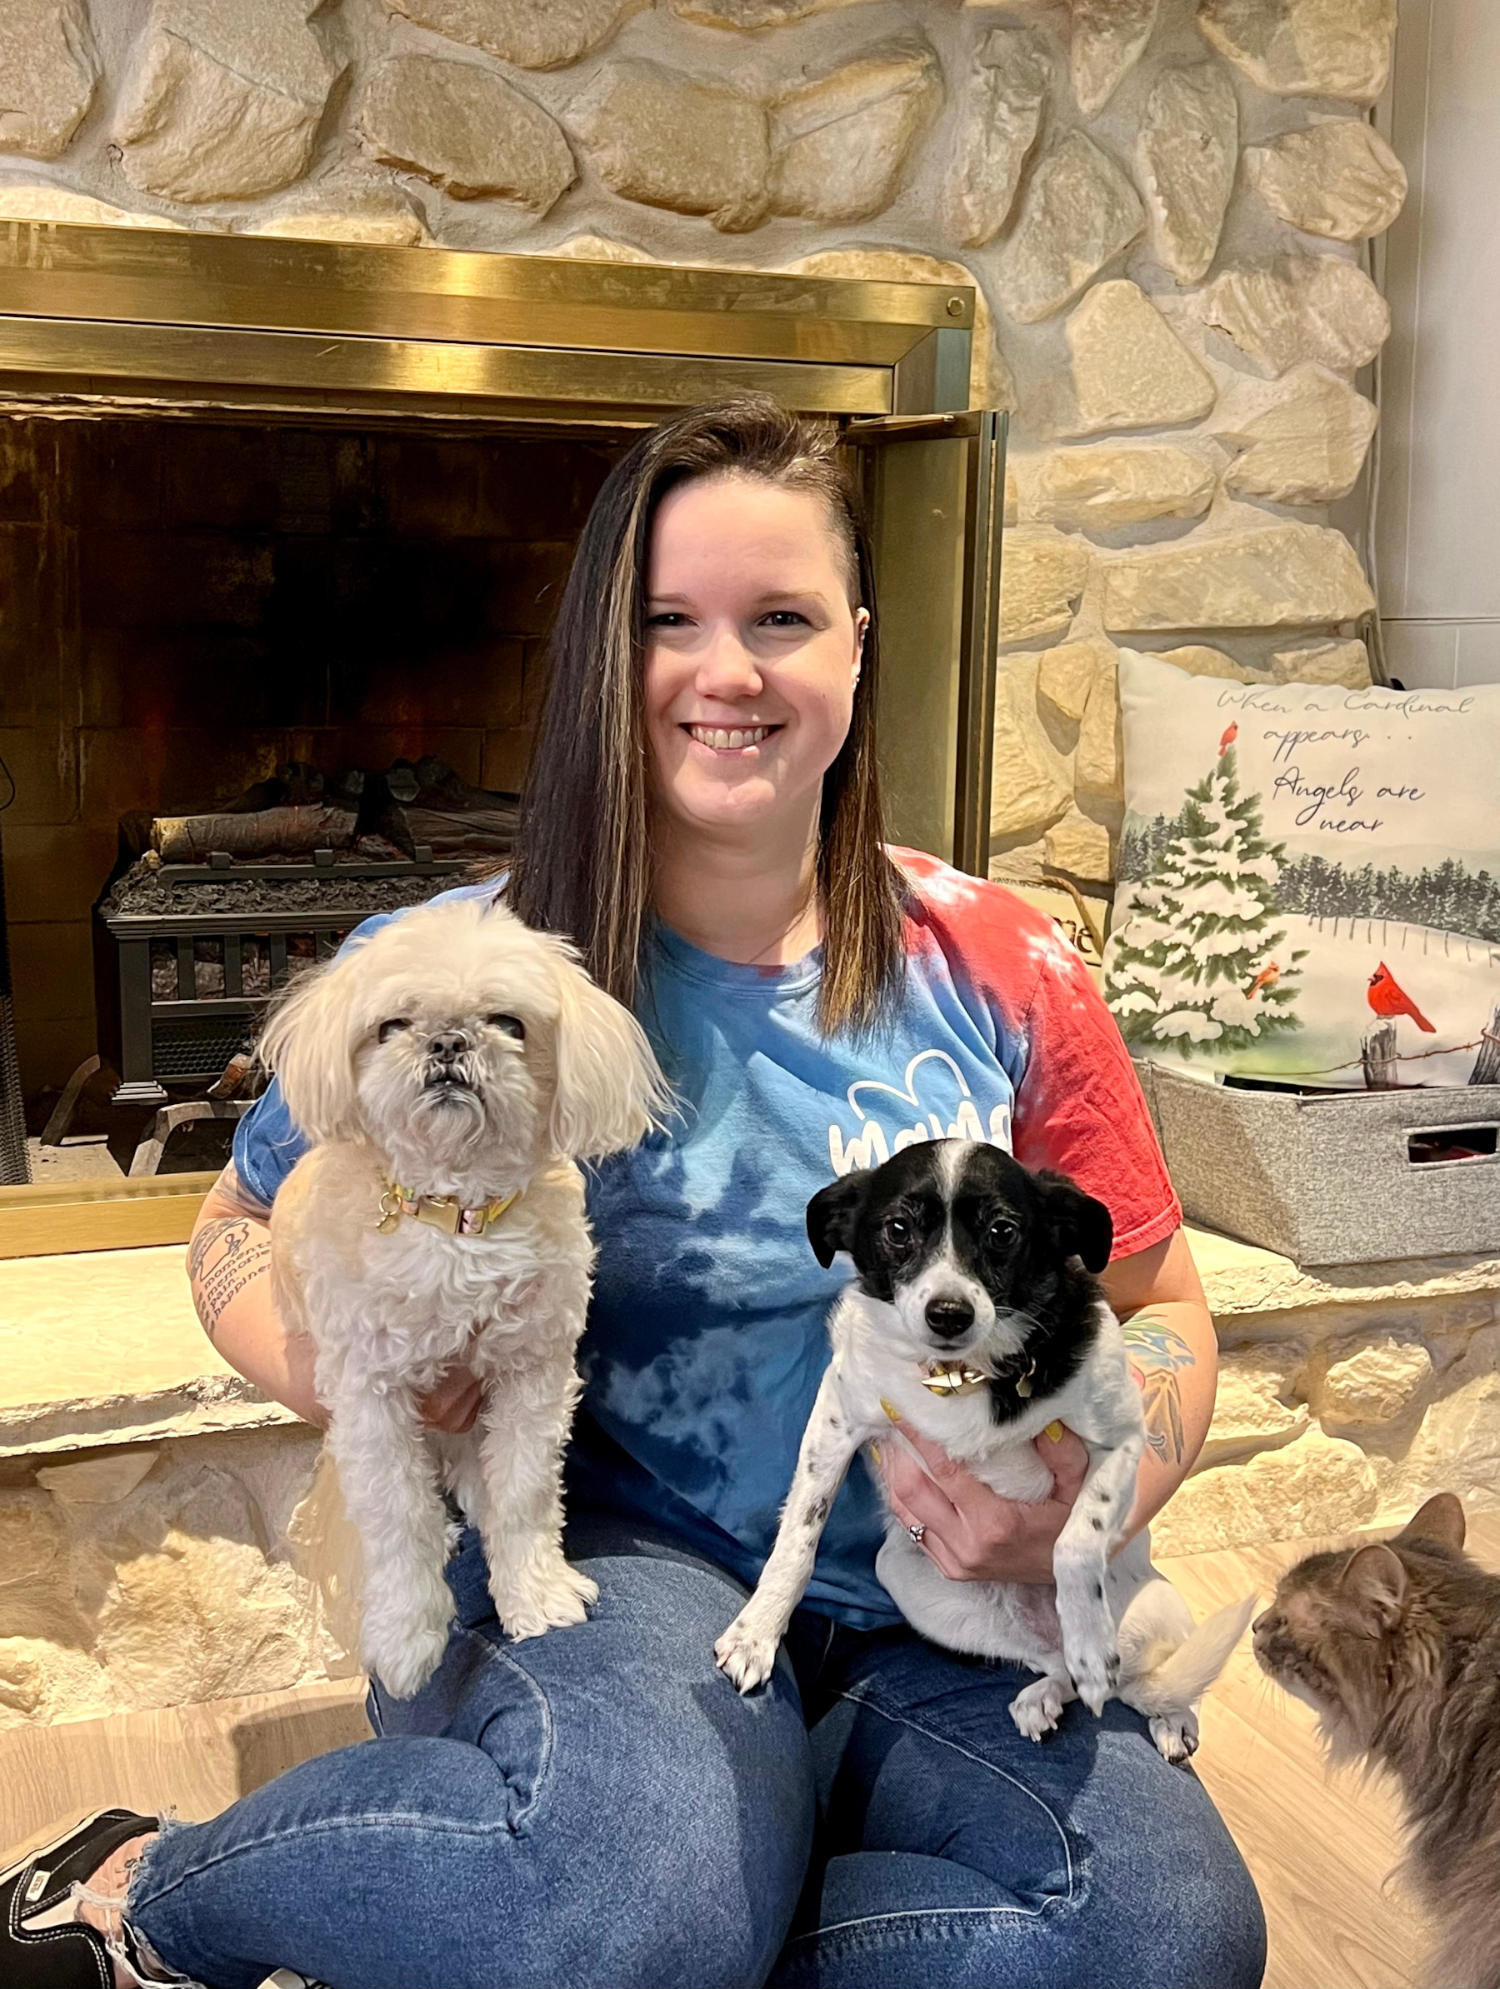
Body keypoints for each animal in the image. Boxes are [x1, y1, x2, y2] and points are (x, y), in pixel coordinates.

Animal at [260, 899, 664, 1694]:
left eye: (507, 1021)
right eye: (392, 1025)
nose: (448, 1040)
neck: (457, 1218)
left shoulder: (532, 1372)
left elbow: (525, 1491)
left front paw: (537, 1594)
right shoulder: (370, 1394)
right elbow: (395, 1515)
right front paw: (406, 1634)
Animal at [712, 1137, 1249, 1758]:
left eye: (1002, 1231)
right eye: (898, 1228)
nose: (949, 1314)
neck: (961, 1374)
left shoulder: (1124, 1439)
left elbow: (1073, 1544)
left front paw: (1091, 1643)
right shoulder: (837, 1416)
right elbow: (798, 1539)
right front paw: (758, 1631)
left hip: (1165, 1610)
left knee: (1159, 1680)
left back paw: (1163, 1710)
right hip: (909, 1580)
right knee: (1061, 1668)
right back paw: (1047, 1694)